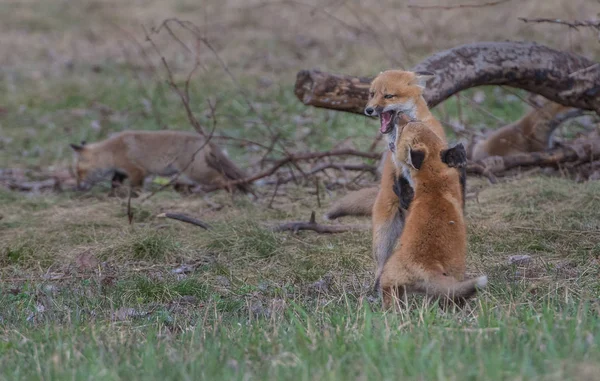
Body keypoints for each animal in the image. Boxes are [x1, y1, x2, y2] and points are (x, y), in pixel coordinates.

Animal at [69, 130, 250, 193]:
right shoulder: (121, 172)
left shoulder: (137, 171)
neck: (112, 152)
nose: (77, 188)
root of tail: (204, 139)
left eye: (78, 172)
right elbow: (114, 183)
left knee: (223, 179)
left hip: (196, 172)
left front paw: (136, 198)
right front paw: (112, 196)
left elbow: (136, 188)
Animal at [380, 121, 488, 308]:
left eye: (403, 130)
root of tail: (425, 267)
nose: (403, 119)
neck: (433, 179)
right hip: (453, 273)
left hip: (389, 280)